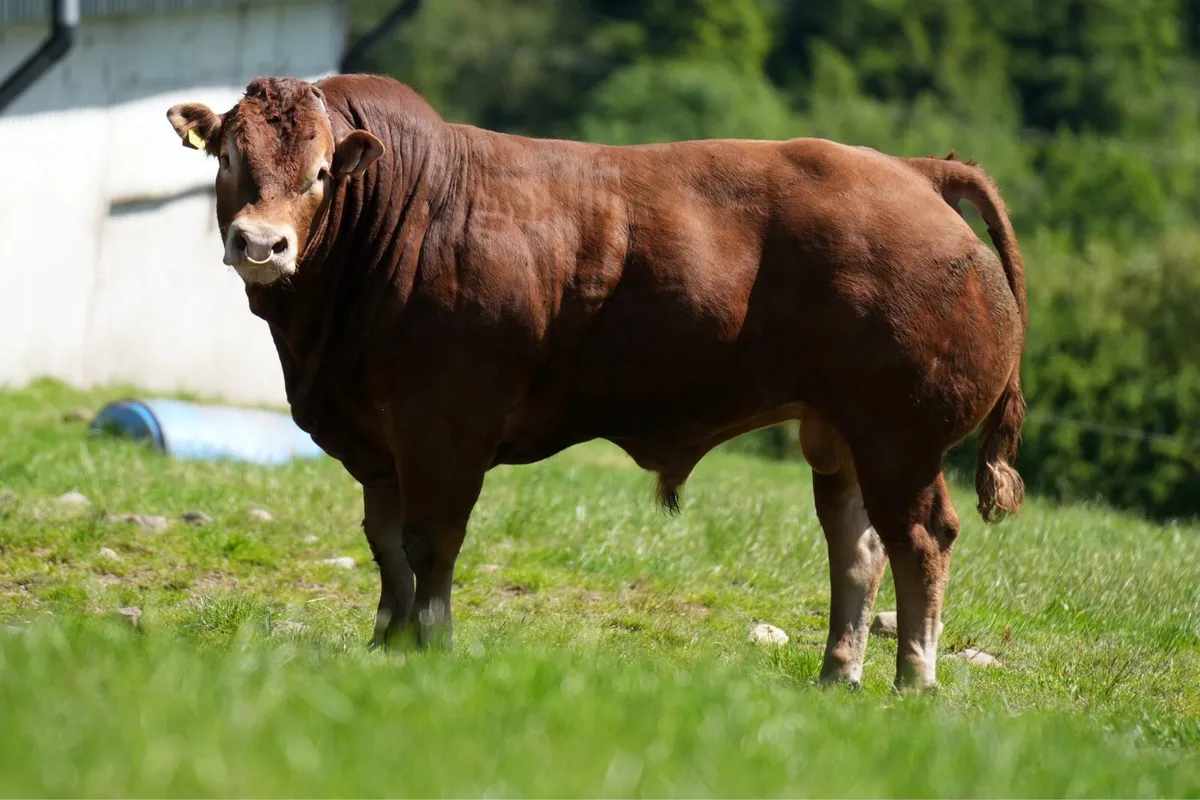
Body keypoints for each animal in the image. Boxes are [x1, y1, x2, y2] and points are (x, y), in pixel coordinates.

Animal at [165, 73, 1027, 691]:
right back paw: (837, 676)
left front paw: (430, 643)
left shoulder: (444, 427)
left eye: (318, 174)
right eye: (230, 158)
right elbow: (386, 545)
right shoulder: (379, 442)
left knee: (921, 540)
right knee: (857, 549)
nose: (261, 244)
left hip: (900, 439)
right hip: (840, 436)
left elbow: (430, 542)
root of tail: (913, 169)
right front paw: (387, 638)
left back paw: (914, 681)